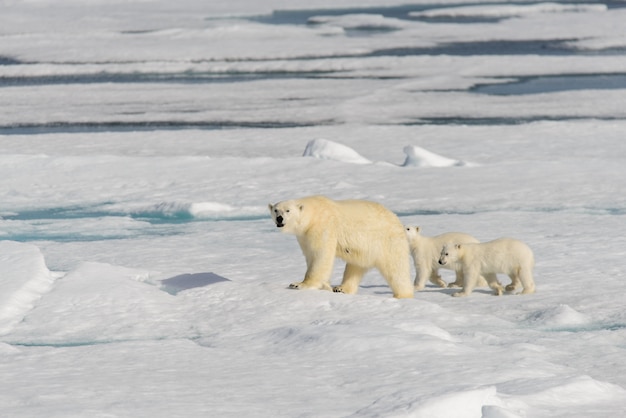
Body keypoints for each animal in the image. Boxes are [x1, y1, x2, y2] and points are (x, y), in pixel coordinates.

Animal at [268, 194, 414, 298]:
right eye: (276, 210)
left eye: (288, 210)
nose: (280, 218)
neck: (313, 214)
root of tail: (397, 220)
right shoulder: (305, 236)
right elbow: (311, 255)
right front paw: (326, 286)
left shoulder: (323, 226)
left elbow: (321, 255)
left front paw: (298, 284)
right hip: (364, 250)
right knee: (355, 267)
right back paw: (341, 288)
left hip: (388, 241)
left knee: (396, 269)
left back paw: (402, 294)